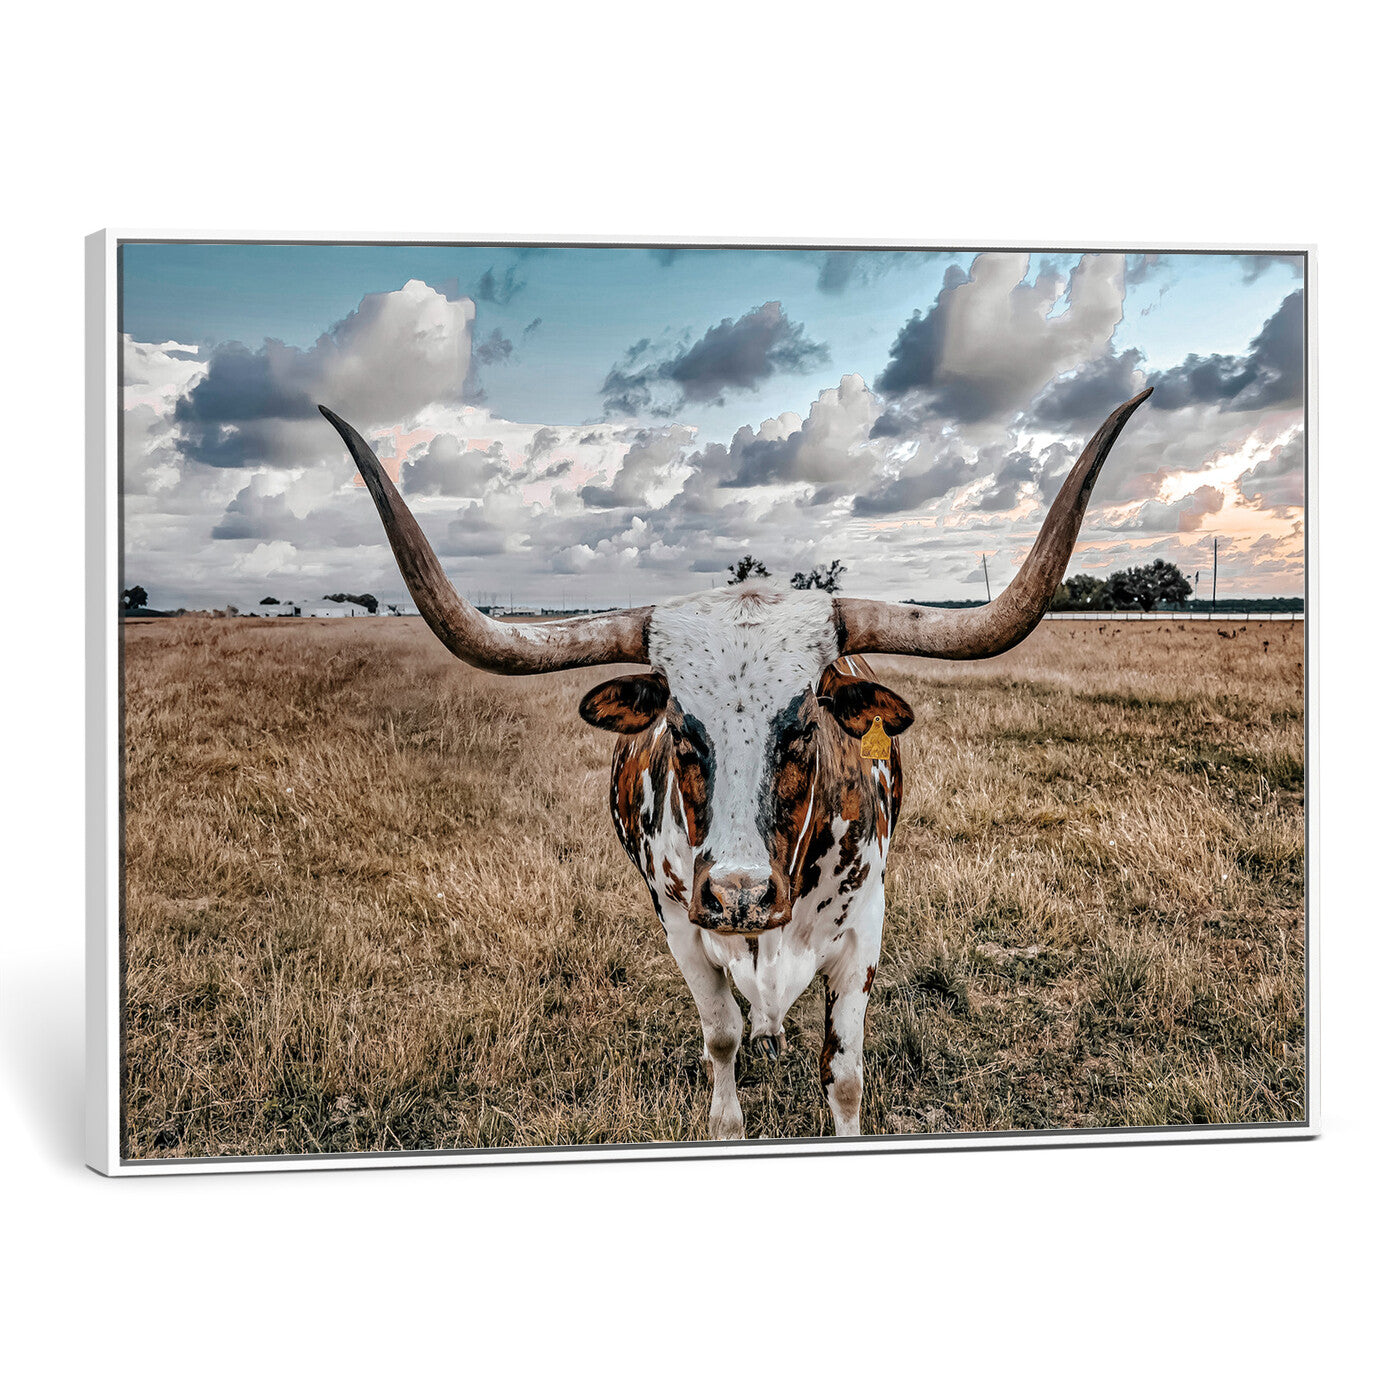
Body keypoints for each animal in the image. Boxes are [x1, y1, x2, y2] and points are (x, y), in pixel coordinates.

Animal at [320, 387, 1151, 1139]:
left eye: (804, 726)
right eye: (682, 729)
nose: (740, 894)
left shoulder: (864, 933)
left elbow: (845, 1076)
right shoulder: (682, 928)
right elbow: (718, 1039)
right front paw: (728, 1116)